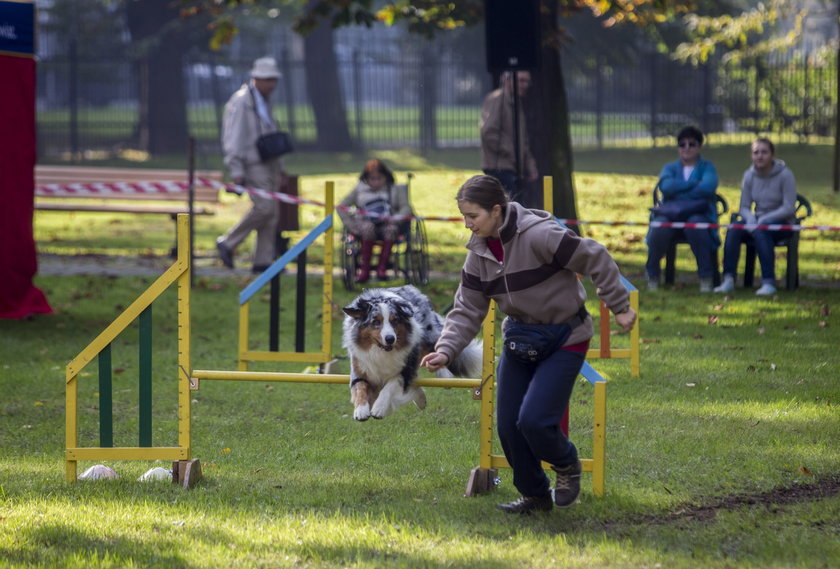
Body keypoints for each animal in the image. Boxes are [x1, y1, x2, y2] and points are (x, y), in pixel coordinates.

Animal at [342, 286, 482, 420]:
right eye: (375, 322)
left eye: (394, 321)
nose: (390, 339)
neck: (380, 351)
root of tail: (417, 291)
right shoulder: (359, 369)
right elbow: (359, 387)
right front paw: (360, 410)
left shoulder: (405, 369)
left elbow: (389, 387)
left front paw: (378, 408)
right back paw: (421, 400)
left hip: (427, 336)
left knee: (436, 350)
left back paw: (444, 375)